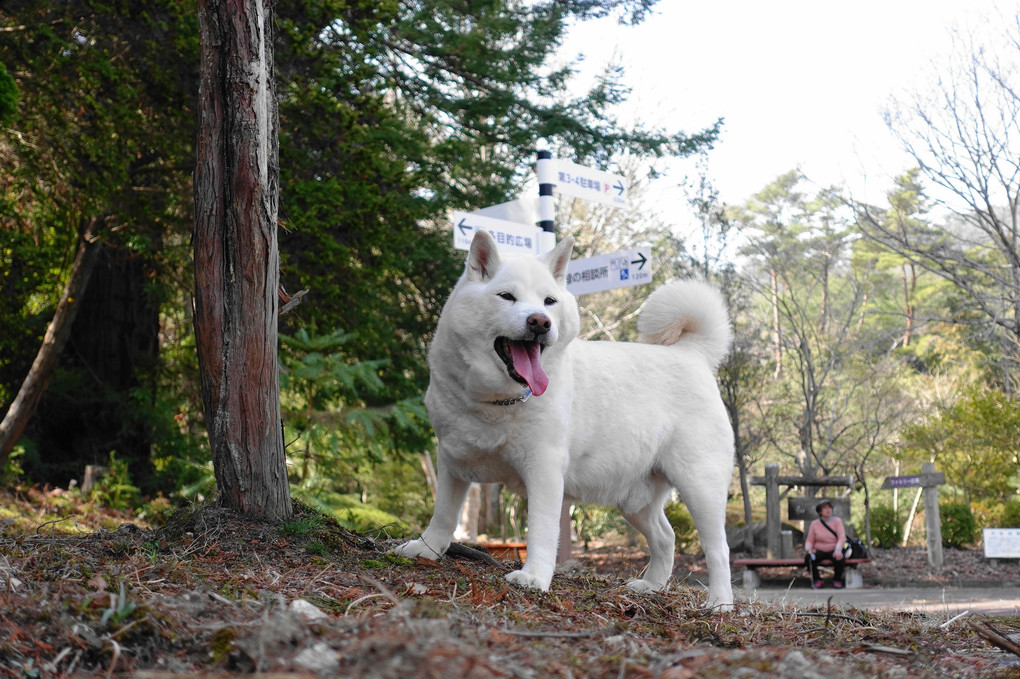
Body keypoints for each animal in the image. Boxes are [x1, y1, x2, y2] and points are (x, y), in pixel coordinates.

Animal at [393, 230, 738, 611]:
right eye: (507, 296)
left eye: (549, 301)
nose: (540, 322)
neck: (496, 402)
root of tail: (692, 353)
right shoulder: (452, 460)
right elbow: (443, 514)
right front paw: (426, 549)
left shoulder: (543, 470)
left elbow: (542, 530)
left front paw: (534, 577)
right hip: (636, 500)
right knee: (666, 537)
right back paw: (651, 586)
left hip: (700, 487)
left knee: (718, 550)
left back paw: (720, 603)